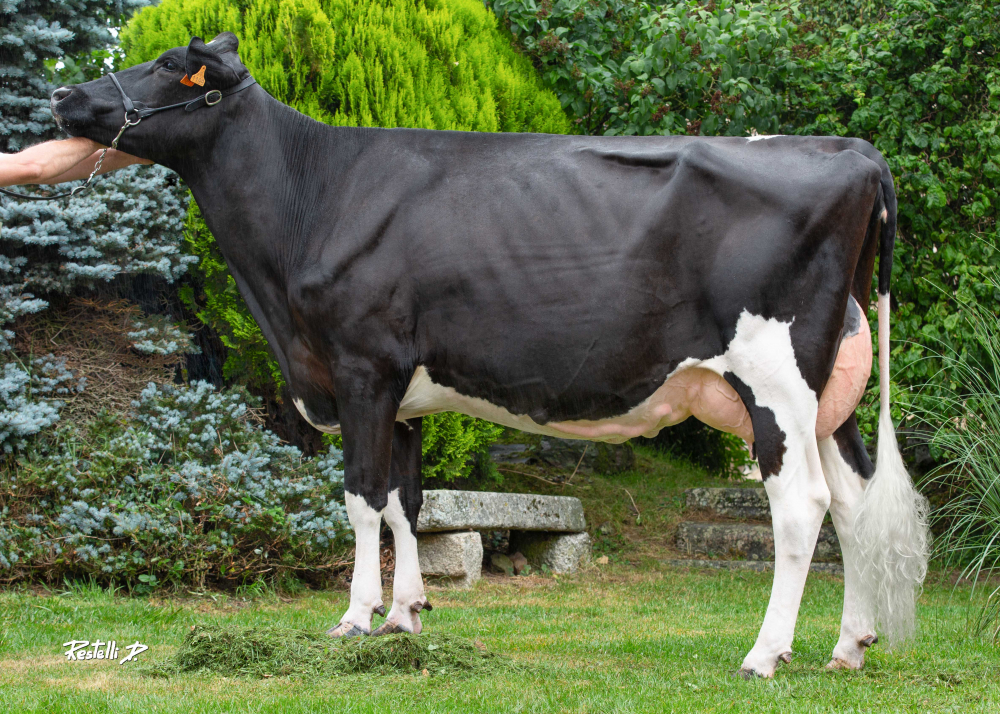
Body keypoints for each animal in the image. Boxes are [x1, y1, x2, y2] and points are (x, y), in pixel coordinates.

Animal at [50, 33, 928, 680]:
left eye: (172, 66)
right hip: (830, 390)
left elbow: (361, 498)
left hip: (775, 377)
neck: (310, 199)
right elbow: (407, 501)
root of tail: (852, 151)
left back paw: (764, 654)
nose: (63, 96)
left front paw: (354, 619)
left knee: (801, 503)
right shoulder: (402, 391)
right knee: (852, 499)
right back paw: (848, 647)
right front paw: (406, 616)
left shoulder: (361, 365)